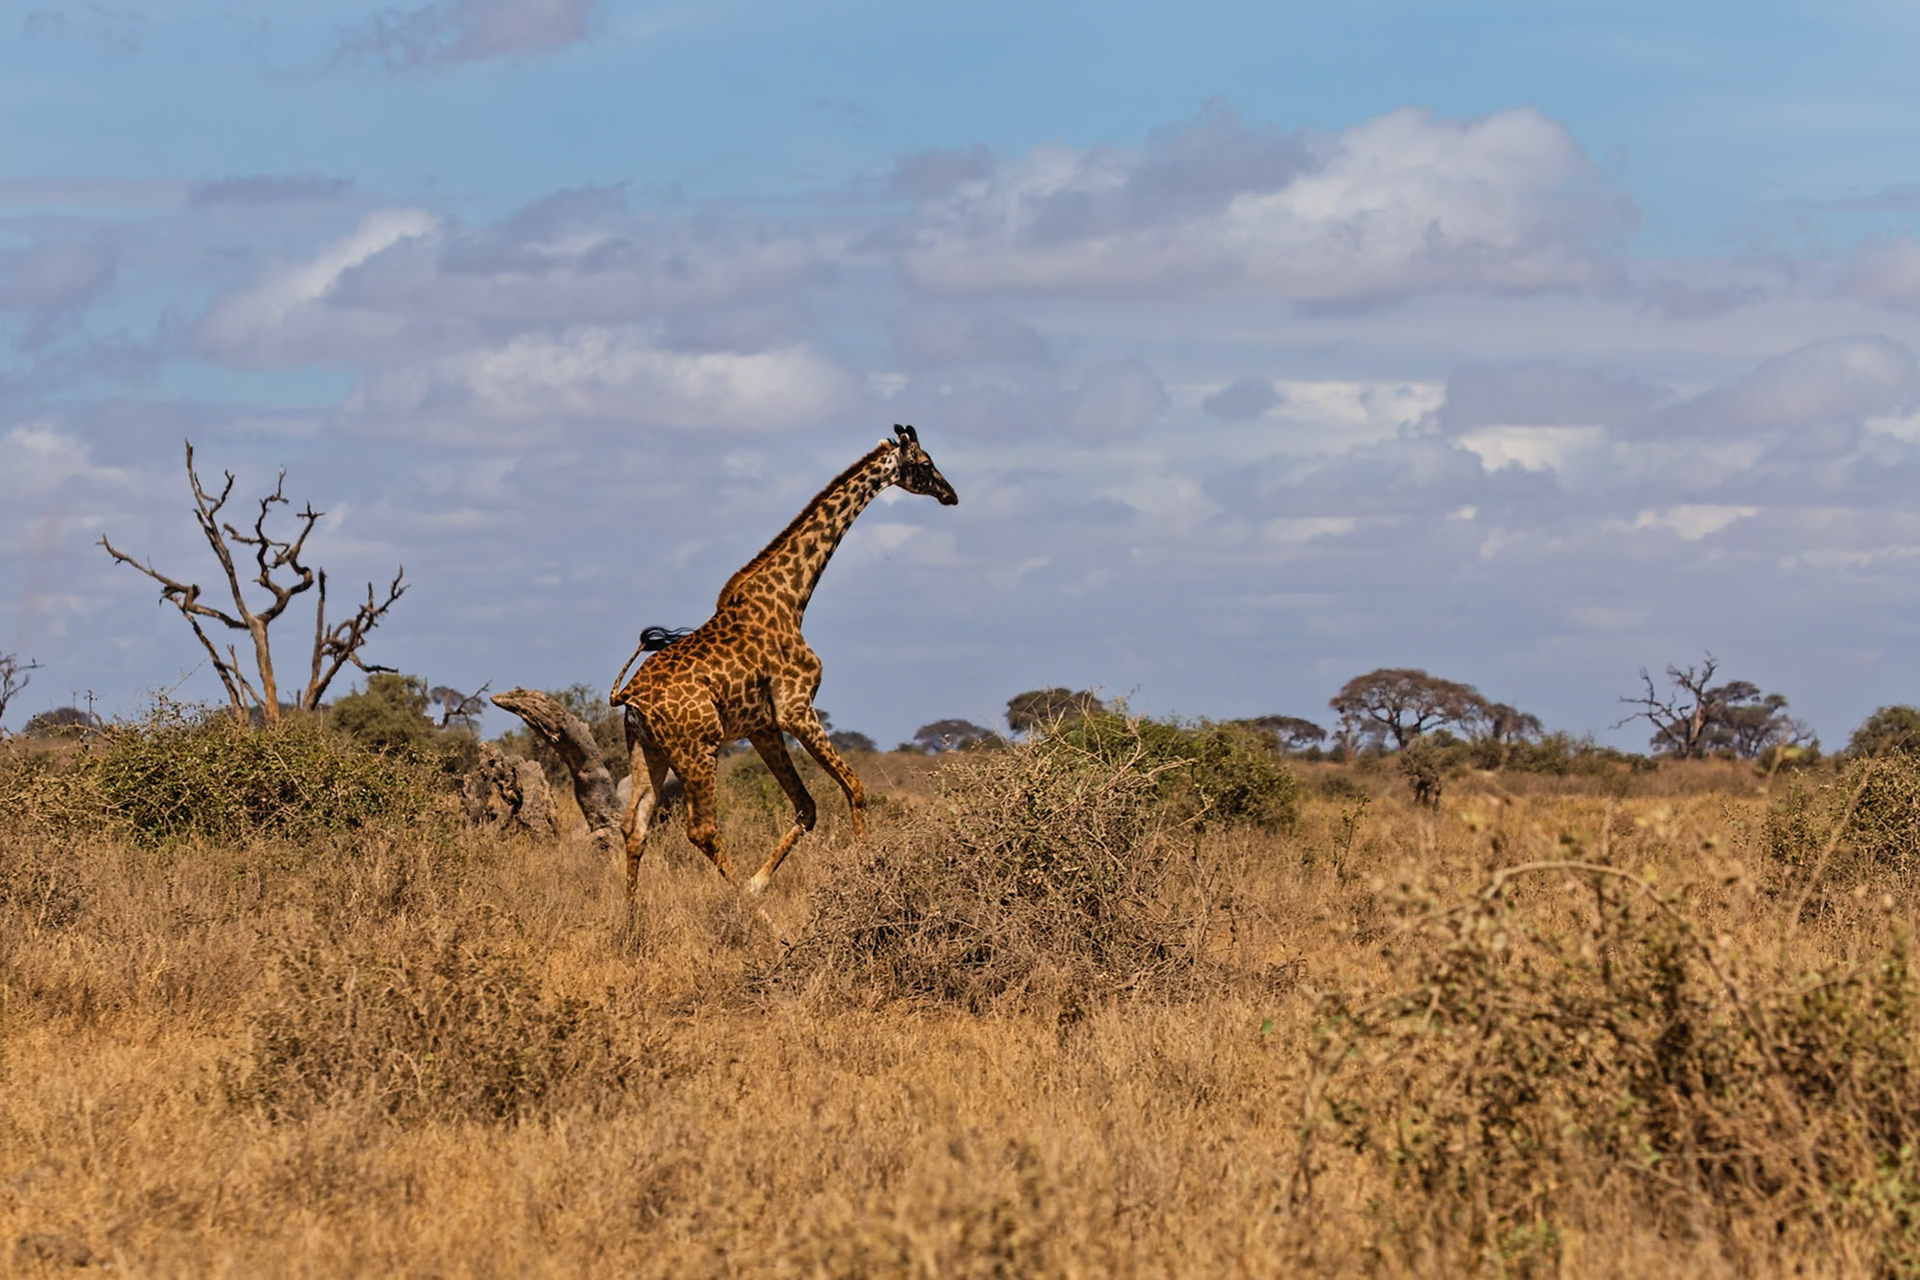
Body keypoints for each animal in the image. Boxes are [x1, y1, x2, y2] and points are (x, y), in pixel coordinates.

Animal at [609, 424, 958, 895]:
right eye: (924, 463)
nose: (950, 494)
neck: (792, 598)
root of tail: (629, 697)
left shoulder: (762, 726)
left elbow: (807, 807)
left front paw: (760, 882)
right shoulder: (796, 709)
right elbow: (855, 787)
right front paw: (867, 868)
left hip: (648, 748)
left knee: (635, 826)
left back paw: (634, 915)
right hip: (696, 748)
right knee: (701, 829)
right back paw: (744, 903)